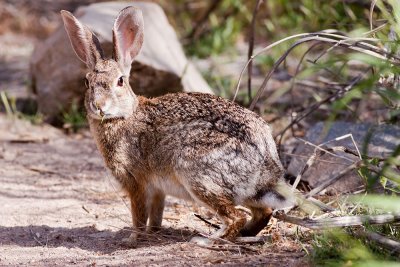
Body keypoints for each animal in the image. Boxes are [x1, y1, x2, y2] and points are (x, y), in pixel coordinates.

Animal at [60, 6, 296, 248]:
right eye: (87, 82)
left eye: (120, 81)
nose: (99, 106)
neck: (125, 115)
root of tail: (267, 162)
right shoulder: (157, 190)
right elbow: (156, 213)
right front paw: (153, 232)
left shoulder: (136, 181)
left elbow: (138, 214)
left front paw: (132, 239)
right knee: (262, 213)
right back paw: (244, 234)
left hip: (197, 175)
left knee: (235, 217)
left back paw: (207, 240)